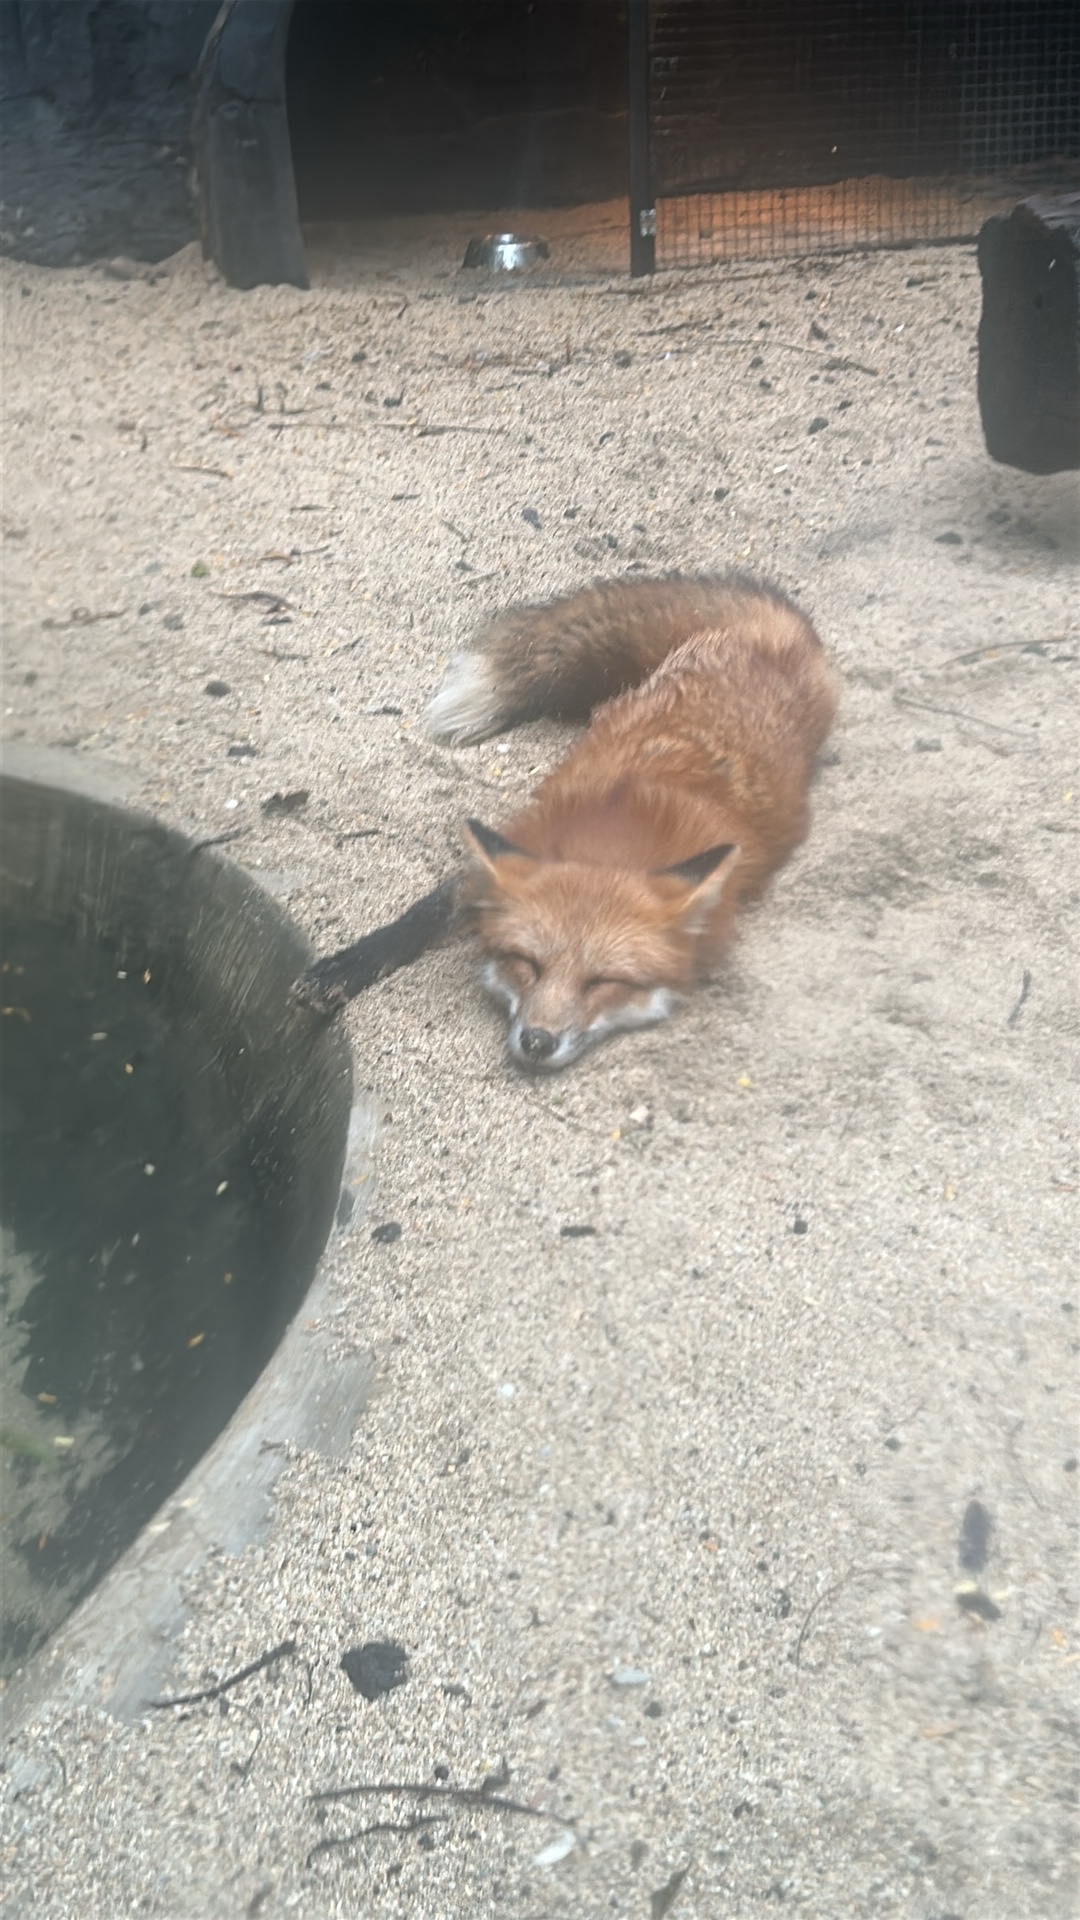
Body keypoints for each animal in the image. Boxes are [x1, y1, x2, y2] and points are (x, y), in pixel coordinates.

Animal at [293, 573, 838, 1070]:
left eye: (602, 983)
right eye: (529, 966)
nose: (537, 1041)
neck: (616, 840)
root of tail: (770, 636)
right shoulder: (515, 848)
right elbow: (422, 913)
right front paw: (345, 968)